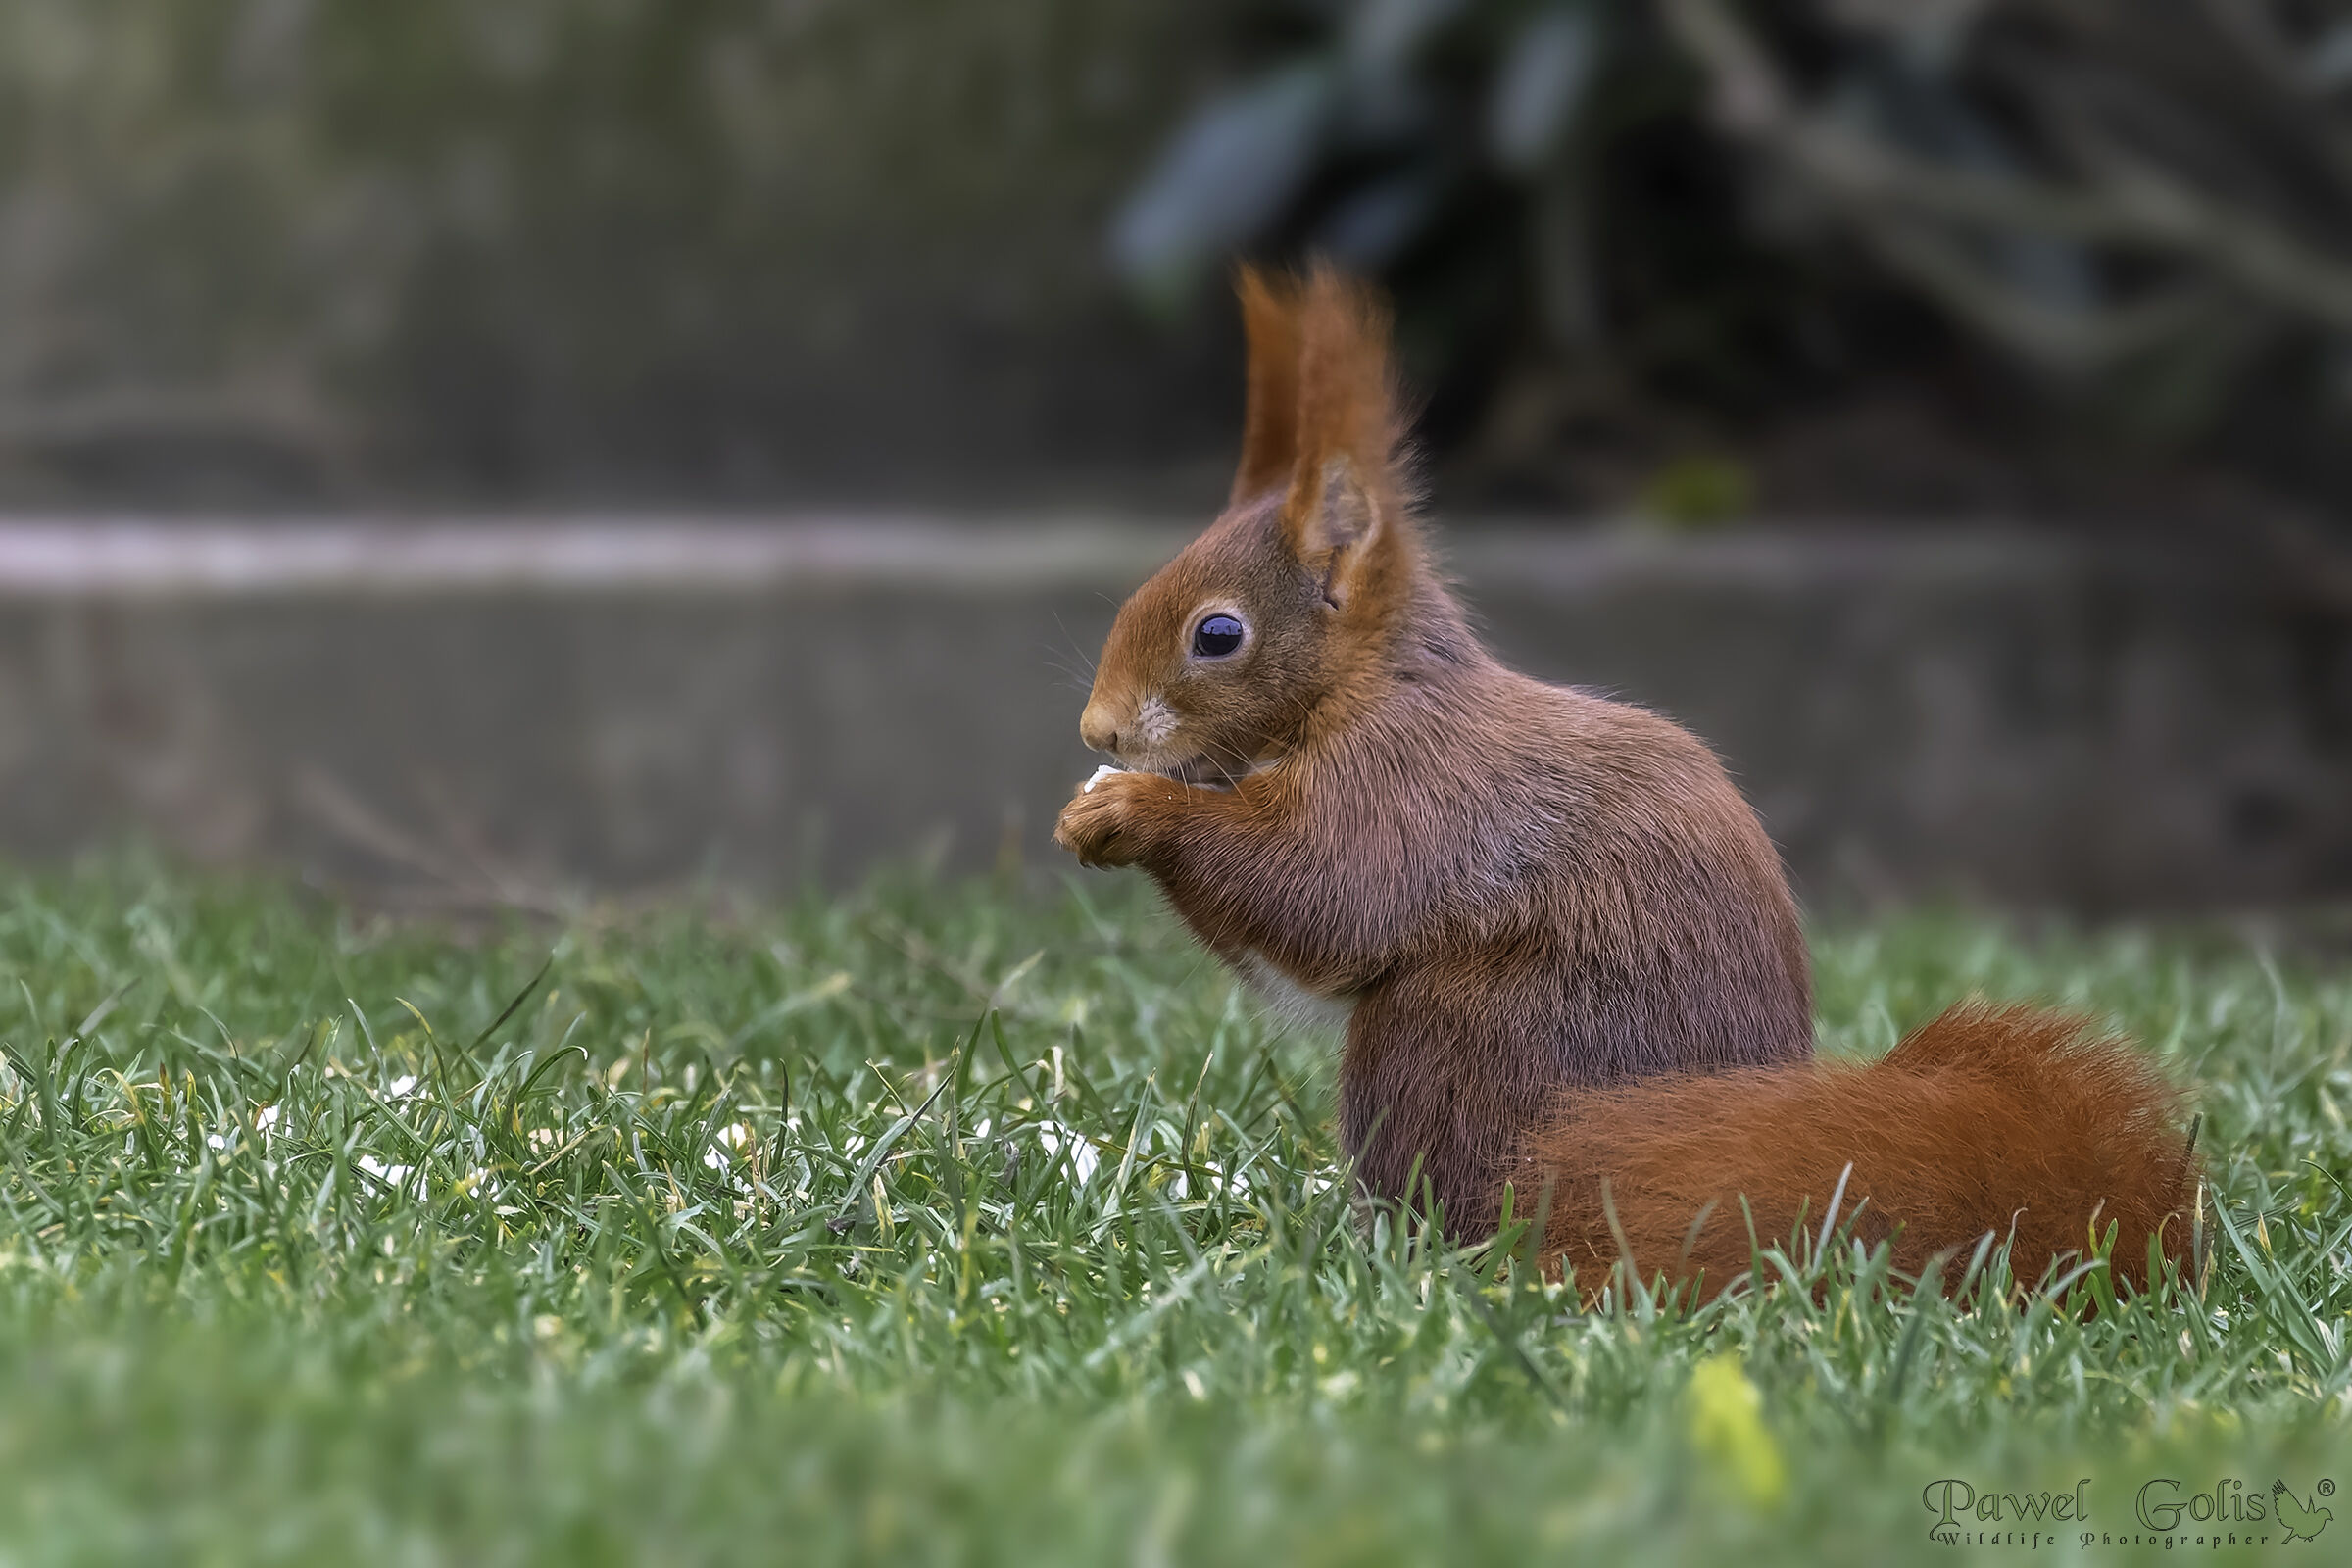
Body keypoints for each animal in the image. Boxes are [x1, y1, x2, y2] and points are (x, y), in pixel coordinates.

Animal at [1054, 264, 2198, 1297]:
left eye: (1218, 634)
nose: (1096, 726)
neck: (1362, 691)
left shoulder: (1412, 786)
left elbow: (1321, 894)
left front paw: (1133, 808)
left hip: (1459, 1040)